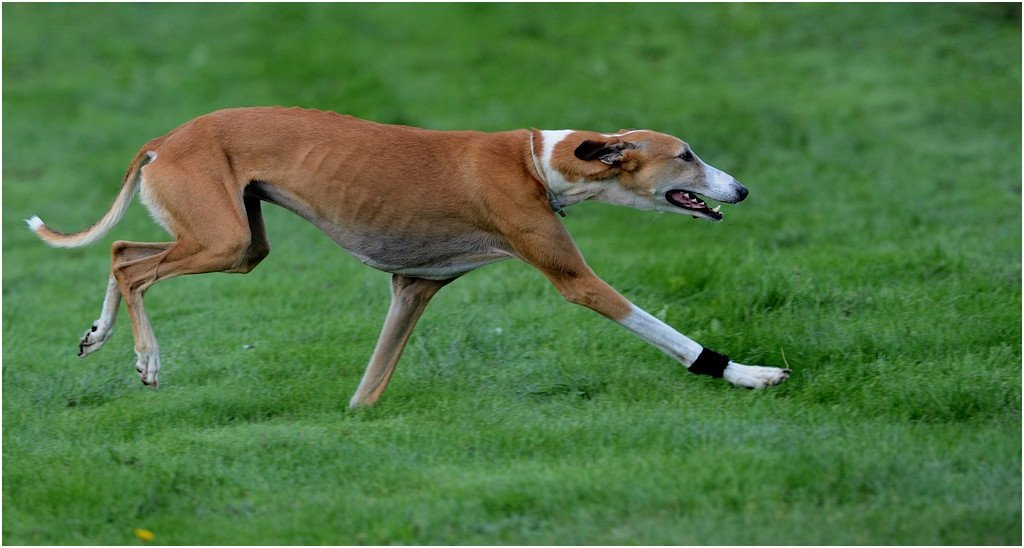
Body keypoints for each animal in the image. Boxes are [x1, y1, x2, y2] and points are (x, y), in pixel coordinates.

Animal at [29, 107, 790, 407]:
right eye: (686, 155)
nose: (742, 189)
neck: (539, 161)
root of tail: (166, 138)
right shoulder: (573, 277)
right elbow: (662, 330)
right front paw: (748, 374)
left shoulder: (413, 288)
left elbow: (367, 392)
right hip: (222, 238)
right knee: (131, 266)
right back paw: (147, 359)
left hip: (237, 242)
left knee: (122, 248)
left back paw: (97, 334)